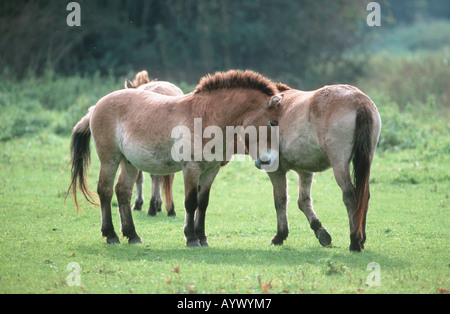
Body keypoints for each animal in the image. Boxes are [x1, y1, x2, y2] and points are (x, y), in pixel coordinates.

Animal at [123, 69, 183, 216]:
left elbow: (140, 177)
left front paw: (139, 203)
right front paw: (159, 204)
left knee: (154, 176)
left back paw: (151, 207)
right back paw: (170, 208)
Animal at [255, 83, 382, 253]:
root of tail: (359, 100)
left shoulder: (276, 171)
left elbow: (280, 200)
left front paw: (280, 236)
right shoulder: (305, 170)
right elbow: (303, 201)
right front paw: (321, 232)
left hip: (339, 164)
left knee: (350, 195)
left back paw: (355, 242)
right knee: (364, 196)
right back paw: (361, 239)